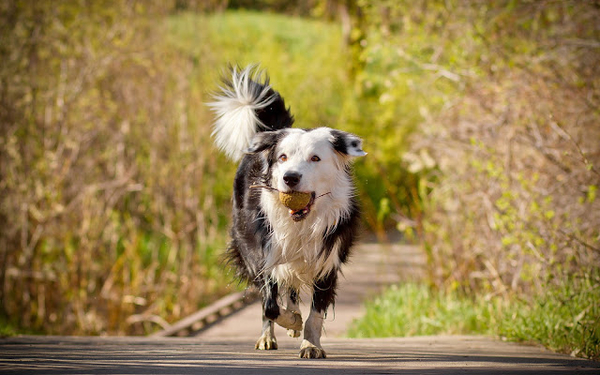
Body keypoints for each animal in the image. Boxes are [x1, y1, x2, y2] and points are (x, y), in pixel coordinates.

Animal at [206, 66, 366, 360]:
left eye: (315, 158)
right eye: (282, 157)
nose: (290, 178)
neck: (300, 223)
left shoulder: (328, 259)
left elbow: (316, 313)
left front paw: (310, 344)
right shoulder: (260, 253)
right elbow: (269, 304)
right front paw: (291, 322)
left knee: (291, 288)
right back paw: (269, 336)